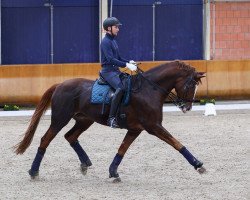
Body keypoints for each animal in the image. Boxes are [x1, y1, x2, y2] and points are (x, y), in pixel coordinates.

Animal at [14, 60, 205, 182]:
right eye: (190, 85)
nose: (187, 107)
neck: (149, 90)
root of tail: (60, 85)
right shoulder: (153, 126)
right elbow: (176, 143)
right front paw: (198, 164)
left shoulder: (135, 129)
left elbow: (122, 149)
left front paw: (113, 172)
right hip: (60, 119)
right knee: (45, 139)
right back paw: (34, 171)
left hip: (84, 120)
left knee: (70, 136)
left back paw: (85, 163)